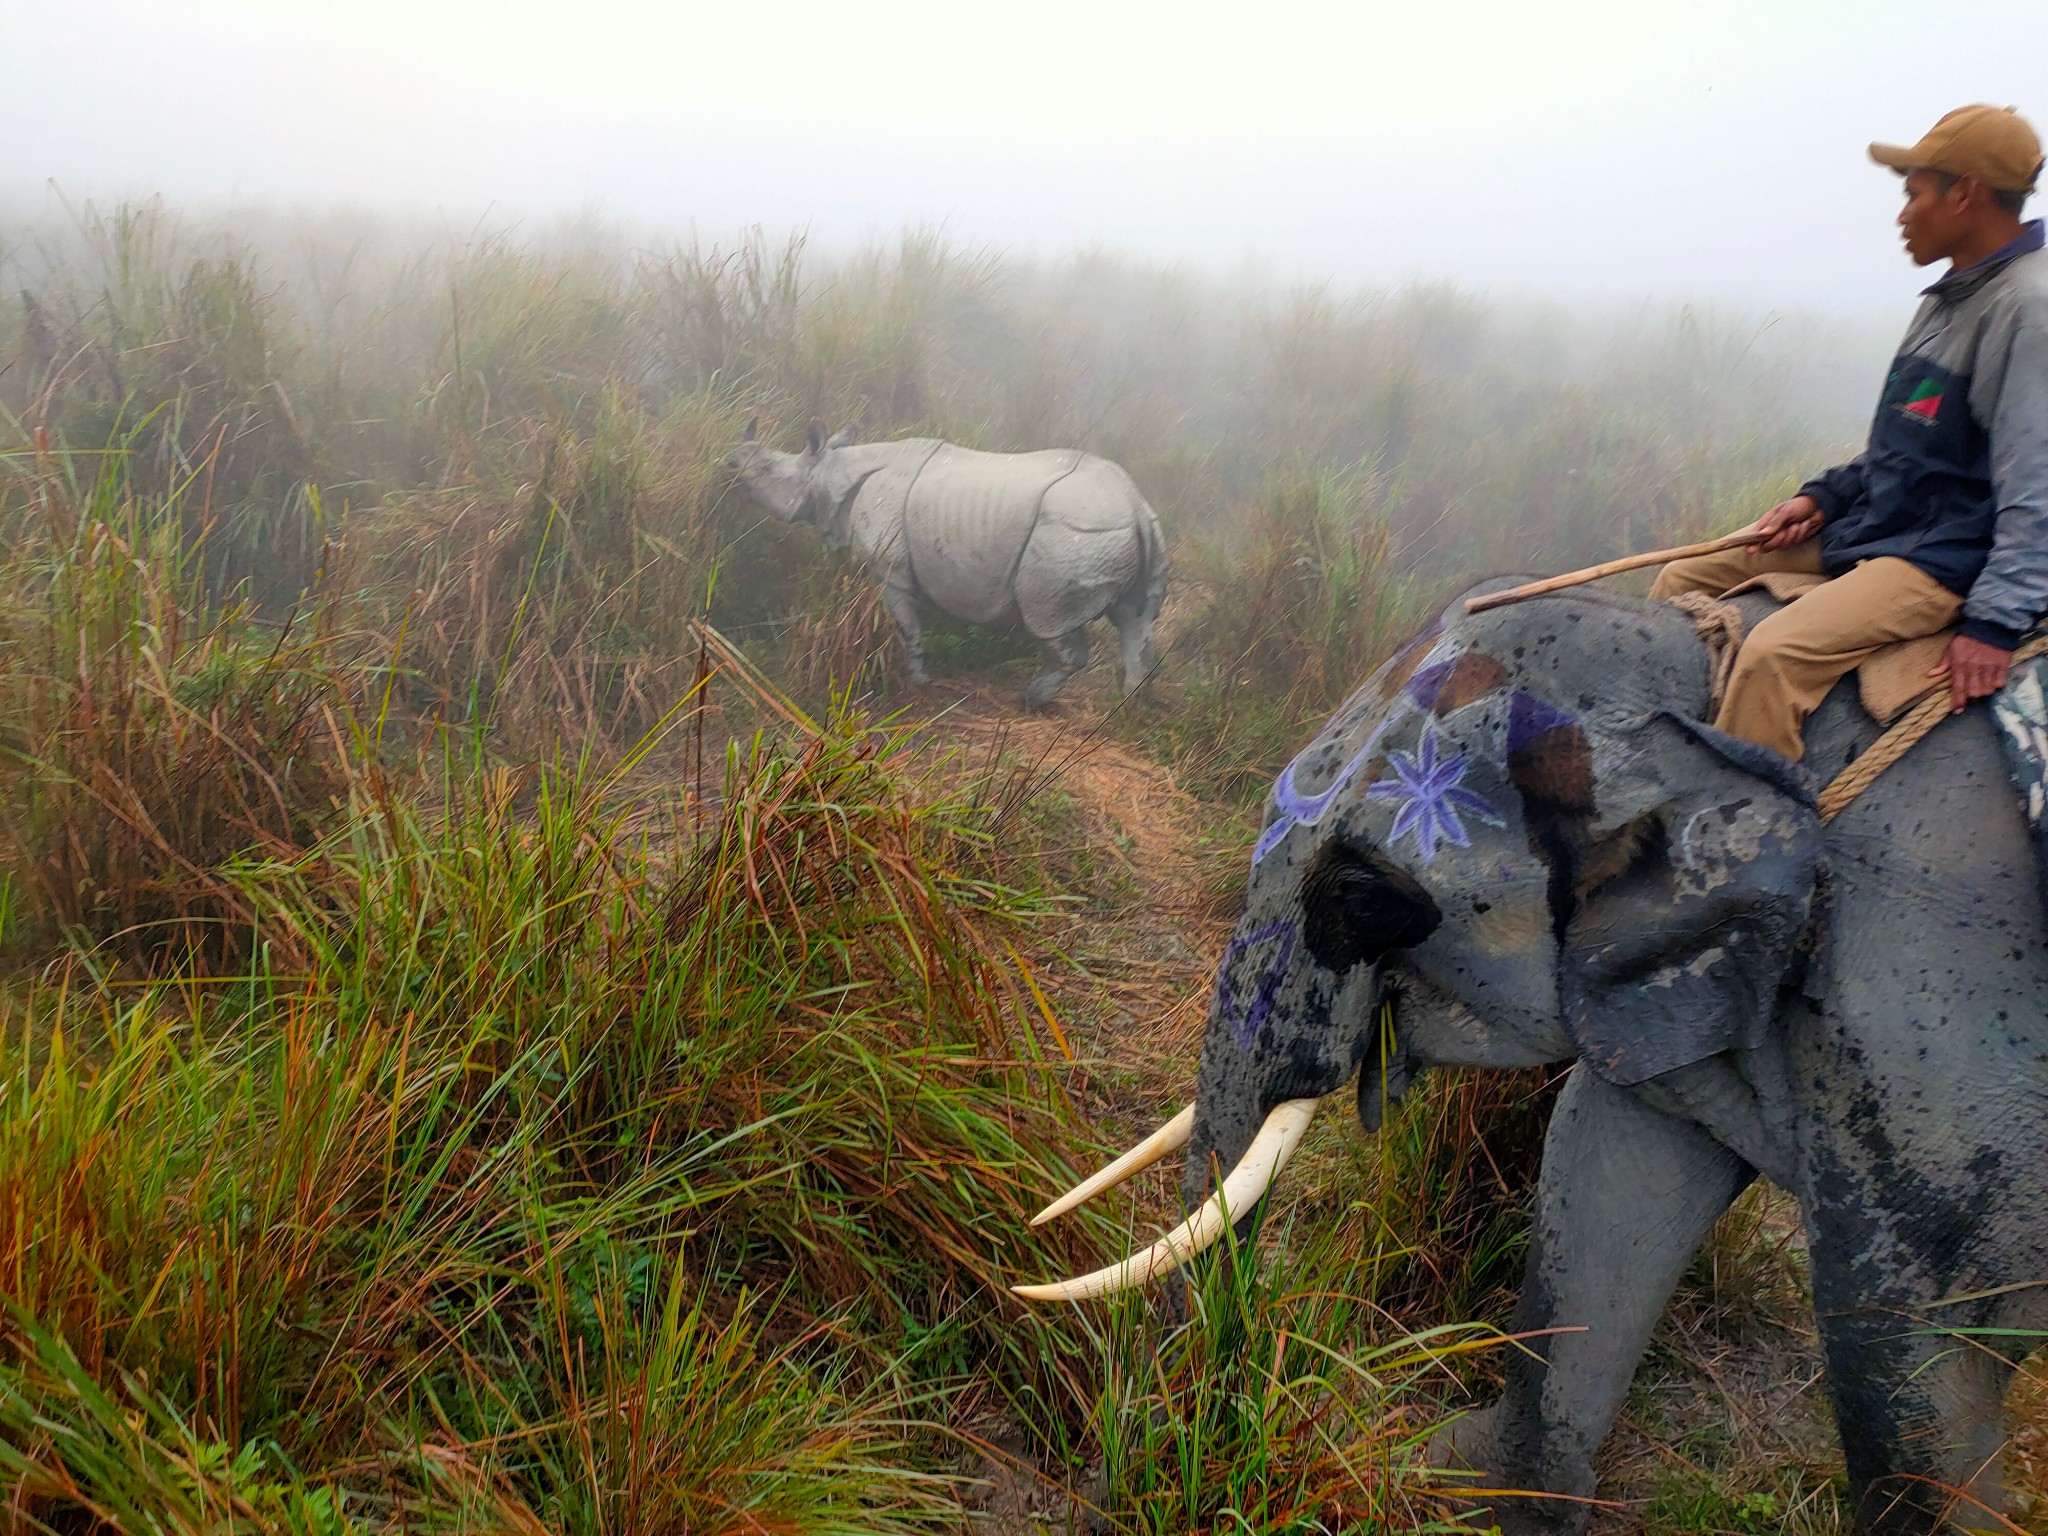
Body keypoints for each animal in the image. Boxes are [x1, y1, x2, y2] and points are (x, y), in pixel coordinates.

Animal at [724, 421, 1171, 708]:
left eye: (768, 469)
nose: (727, 464)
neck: (830, 470)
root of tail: (1136, 506)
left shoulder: (891, 570)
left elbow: (905, 623)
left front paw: (917, 680)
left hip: (1075, 532)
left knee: (1046, 618)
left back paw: (1030, 700)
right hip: (1132, 533)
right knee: (1136, 620)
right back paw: (1126, 709)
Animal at [1019, 581, 2048, 1531]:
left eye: (1362, 896)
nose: (1109, 1487)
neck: (1710, 701)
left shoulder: (1926, 1006)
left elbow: (1917, 1334)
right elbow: (1605, 1173)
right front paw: (1468, 1489)